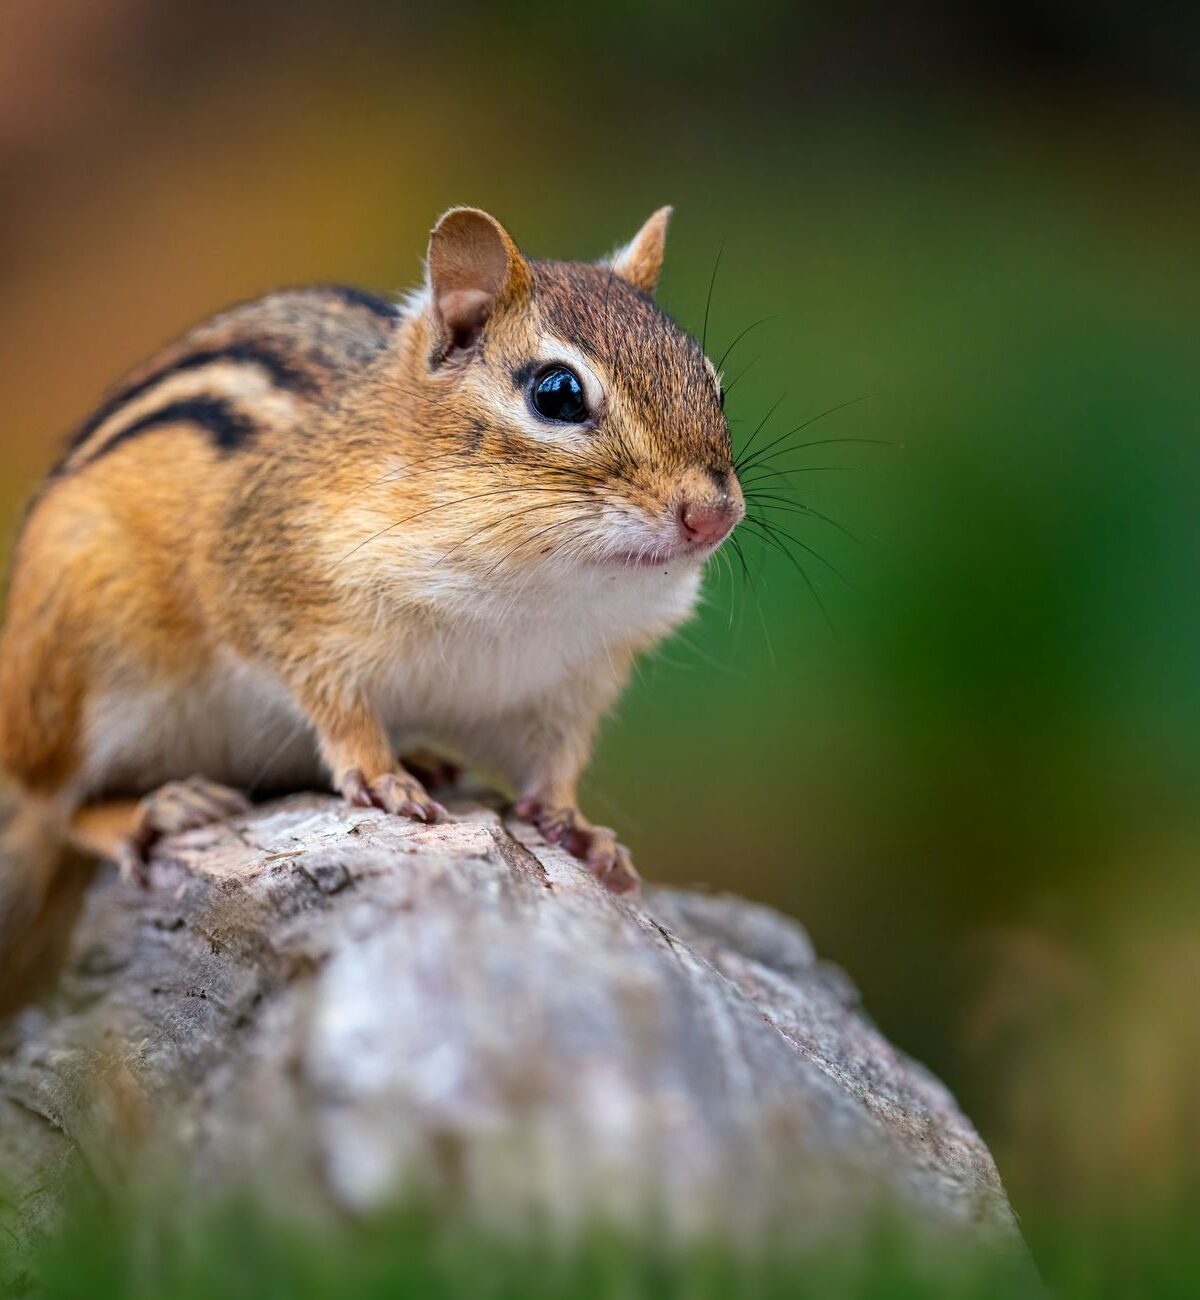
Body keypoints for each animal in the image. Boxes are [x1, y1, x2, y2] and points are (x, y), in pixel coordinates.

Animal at [0, 206, 743, 997]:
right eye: (558, 394)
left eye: (713, 384)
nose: (713, 515)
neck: (542, 589)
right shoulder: (273, 598)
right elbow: (337, 705)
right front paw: (385, 779)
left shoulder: (562, 686)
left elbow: (554, 764)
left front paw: (578, 827)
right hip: (75, 664)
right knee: (52, 804)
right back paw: (157, 808)